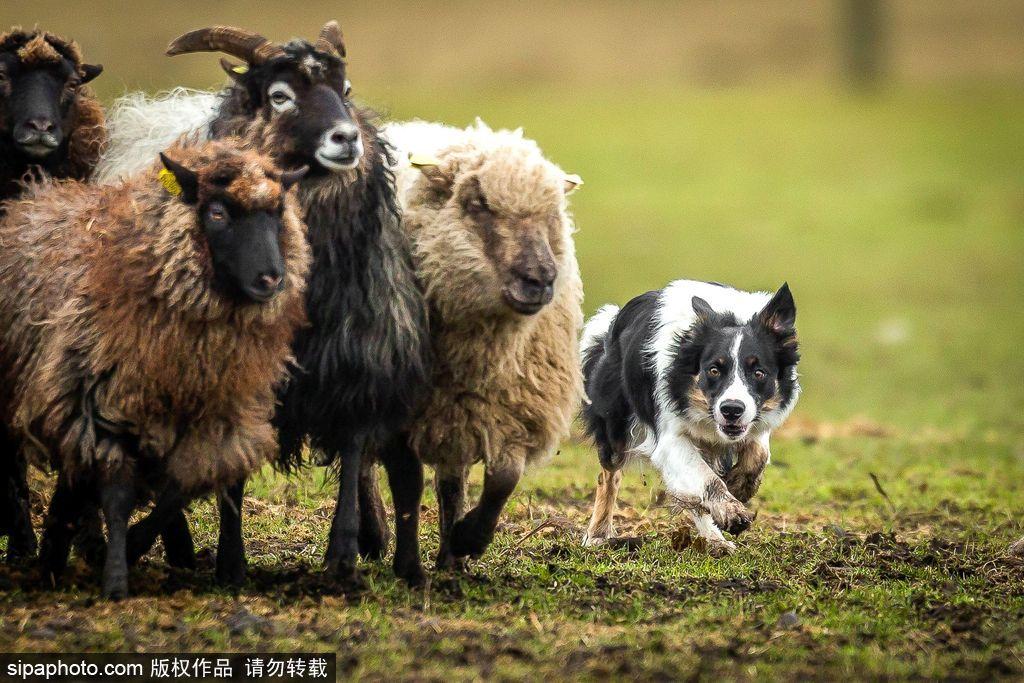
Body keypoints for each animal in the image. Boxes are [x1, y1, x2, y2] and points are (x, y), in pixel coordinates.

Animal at [0, 140, 309, 598]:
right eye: (217, 213)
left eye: (277, 213)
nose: (271, 279)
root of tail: (33, 197)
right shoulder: (109, 405)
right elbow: (117, 496)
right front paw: (114, 579)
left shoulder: (217, 415)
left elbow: (178, 491)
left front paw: (132, 548)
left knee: (72, 482)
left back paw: (54, 554)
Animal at [581, 280, 794, 552]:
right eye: (713, 370)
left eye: (759, 373)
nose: (731, 409)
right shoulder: (670, 437)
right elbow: (707, 478)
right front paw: (732, 511)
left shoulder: (755, 423)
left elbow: (758, 455)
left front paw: (739, 486)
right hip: (614, 422)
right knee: (609, 475)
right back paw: (597, 533)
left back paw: (716, 541)